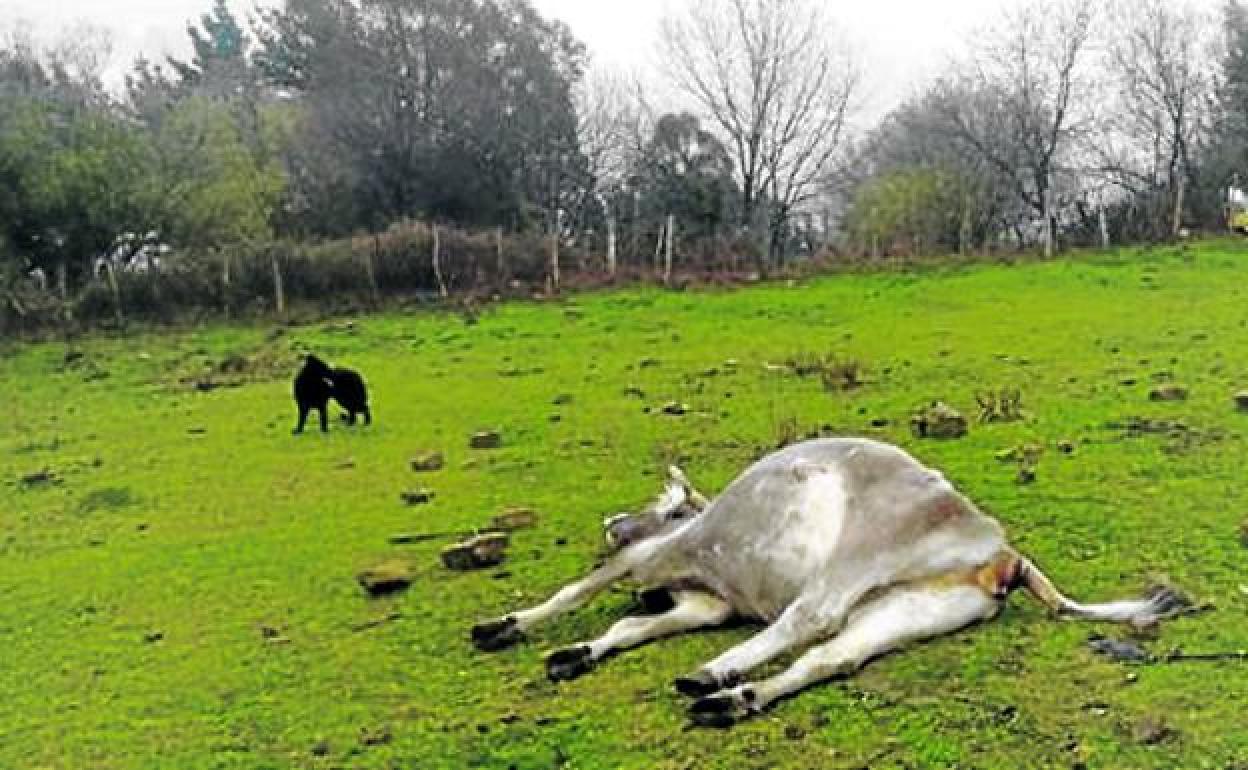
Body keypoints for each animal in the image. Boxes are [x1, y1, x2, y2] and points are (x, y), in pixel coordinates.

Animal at [474, 434, 1188, 723]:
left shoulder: (658, 558)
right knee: (831, 656)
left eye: (663, 505)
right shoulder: (706, 604)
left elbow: (584, 591)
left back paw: (712, 675)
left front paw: (504, 626)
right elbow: (629, 624)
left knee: (808, 620)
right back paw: (735, 700)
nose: (613, 521)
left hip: (854, 557)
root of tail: (1003, 550)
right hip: (907, 610)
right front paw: (576, 653)